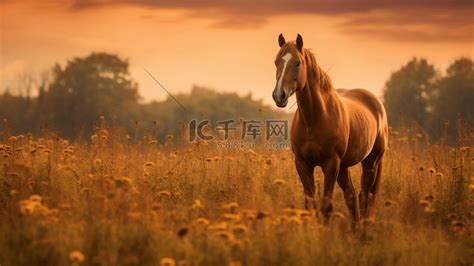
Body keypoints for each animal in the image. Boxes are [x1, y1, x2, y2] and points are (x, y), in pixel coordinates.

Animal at [274, 33, 388, 224]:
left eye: (298, 62)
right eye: (276, 62)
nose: (279, 95)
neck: (314, 120)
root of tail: (376, 103)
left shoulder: (331, 163)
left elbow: (326, 207)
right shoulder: (302, 164)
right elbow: (310, 206)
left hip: (370, 162)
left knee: (365, 197)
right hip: (343, 168)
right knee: (351, 197)